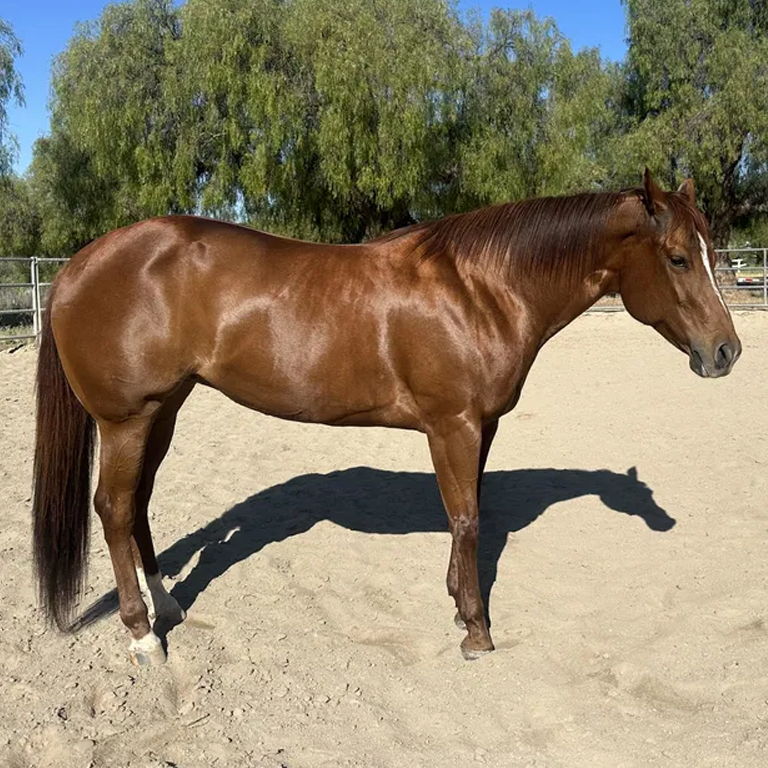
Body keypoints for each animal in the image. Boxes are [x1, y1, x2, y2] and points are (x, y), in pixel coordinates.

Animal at [32, 170, 741, 665]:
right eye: (678, 257)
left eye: (712, 252)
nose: (726, 353)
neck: (480, 289)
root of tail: (78, 265)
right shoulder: (454, 425)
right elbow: (467, 518)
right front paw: (477, 632)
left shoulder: (480, 428)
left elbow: (468, 514)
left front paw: (457, 605)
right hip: (127, 420)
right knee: (114, 509)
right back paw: (142, 636)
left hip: (165, 411)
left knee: (138, 505)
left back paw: (169, 606)